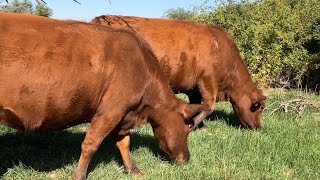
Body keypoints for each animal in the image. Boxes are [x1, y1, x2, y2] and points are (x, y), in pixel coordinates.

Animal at [0, 13, 205, 179]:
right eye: (187, 128)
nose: (186, 159)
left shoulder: (122, 114)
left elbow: (124, 143)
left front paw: (134, 170)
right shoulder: (110, 111)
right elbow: (90, 144)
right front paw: (79, 176)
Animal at [91, 15, 266, 129]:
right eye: (259, 108)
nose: (258, 127)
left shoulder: (194, 87)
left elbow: (197, 105)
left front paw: (201, 127)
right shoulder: (208, 80)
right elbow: (208, 107)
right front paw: (192, 125)